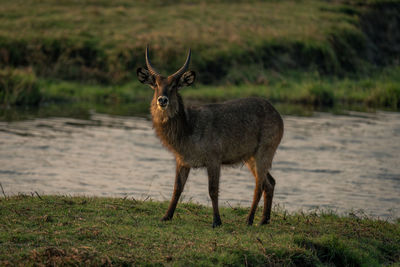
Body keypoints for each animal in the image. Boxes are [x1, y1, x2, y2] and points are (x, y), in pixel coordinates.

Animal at [138, 46, 284, 228]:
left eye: (174, 86)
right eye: (155, 84)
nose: (162, 100)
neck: (188, 129)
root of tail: (277, 114)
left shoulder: (214, 159)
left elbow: (213, 190)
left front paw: (217, 221)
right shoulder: (182, 160)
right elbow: (177, 189)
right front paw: (166, 216)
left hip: (264, 151)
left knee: (259, 185)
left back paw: (249, 220)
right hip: (250, 156)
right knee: (270, 183)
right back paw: (264, 220)